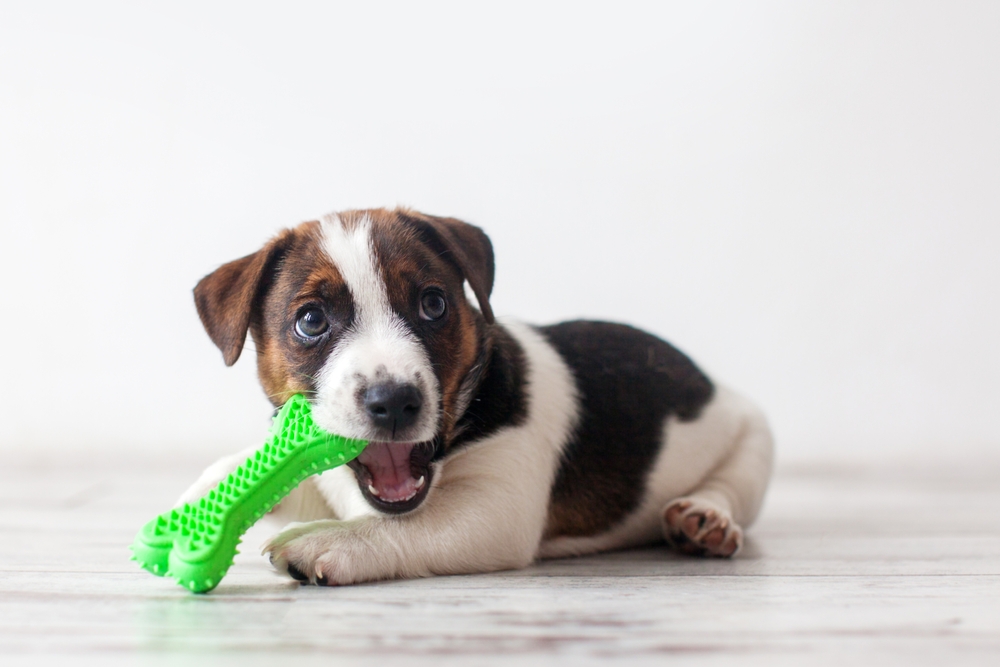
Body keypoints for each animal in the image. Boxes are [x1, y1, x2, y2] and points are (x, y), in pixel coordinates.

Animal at [180, 207, 772, 584]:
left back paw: (706, 519)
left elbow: (403, 527)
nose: (393, 401)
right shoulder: (327, 479)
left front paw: (331, 541)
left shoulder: (496, 510)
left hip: (753, 440)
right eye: (310, 321)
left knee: (733, 488)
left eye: (433, 304)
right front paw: (203, 499)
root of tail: (709, 382)